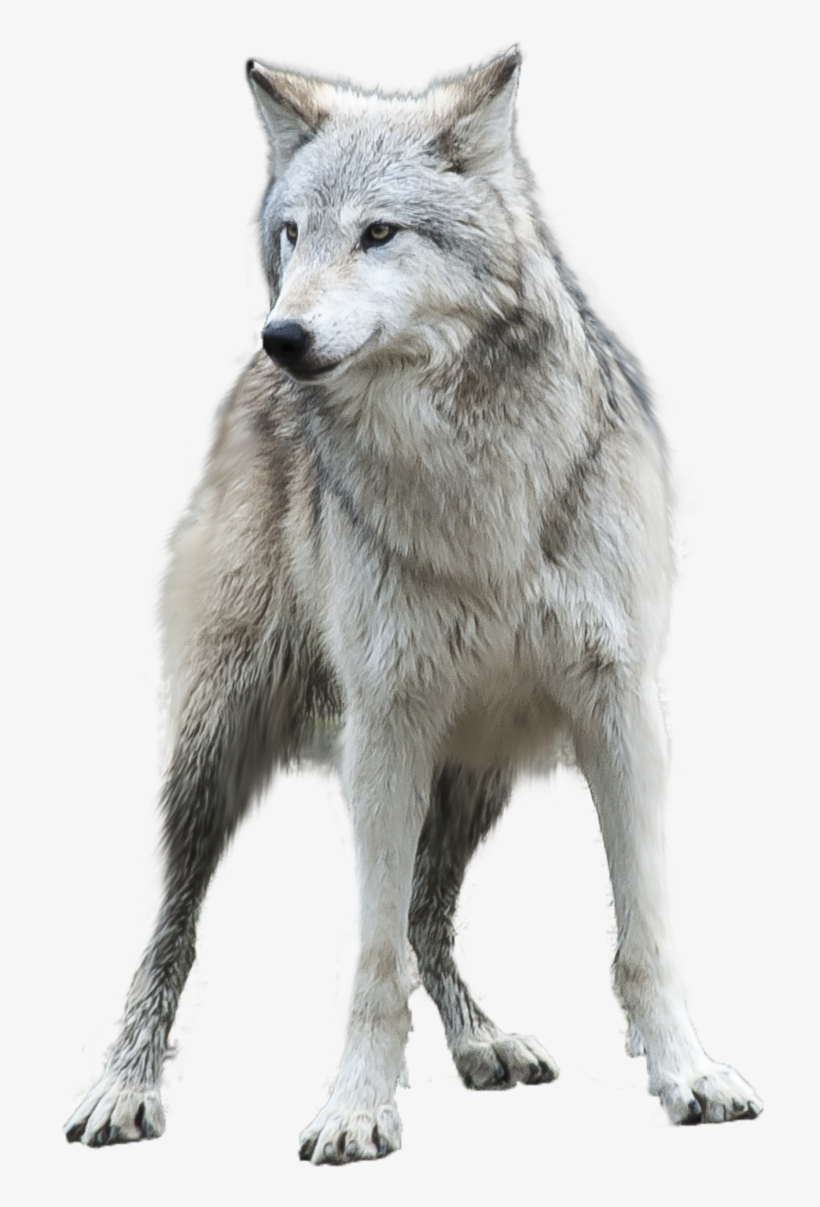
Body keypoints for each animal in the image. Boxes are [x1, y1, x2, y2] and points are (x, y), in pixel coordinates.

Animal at [64, 48, 762, 1162]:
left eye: (379, 233)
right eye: (294, 234)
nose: (283, 335)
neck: (475, 487)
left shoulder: (621, 711)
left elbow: (643, 930)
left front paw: (688, 1073)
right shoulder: (383, 726)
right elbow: (371, 955)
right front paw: (357, 1105)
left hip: (475, 772)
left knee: (431, 912)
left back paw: (481, 1041)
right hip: (216, 748)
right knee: (174, 929)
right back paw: (123, 1087)